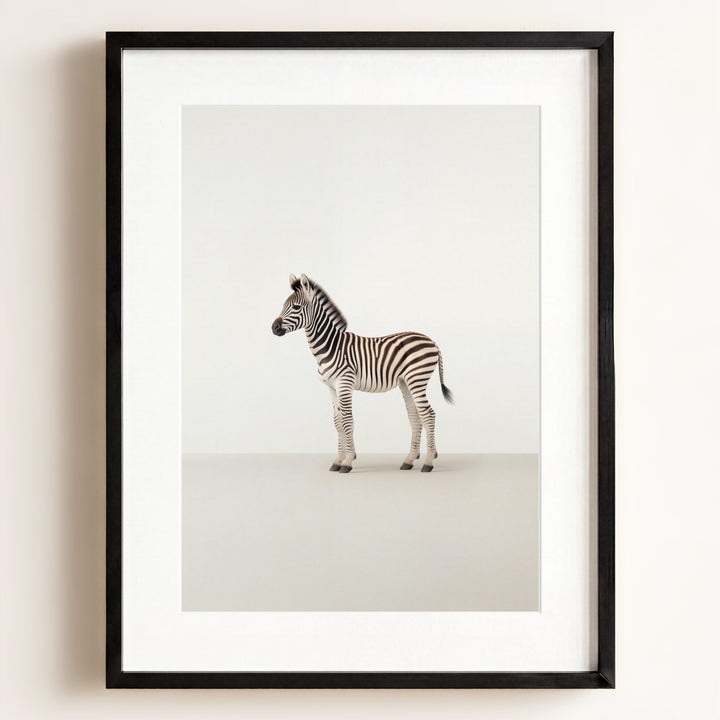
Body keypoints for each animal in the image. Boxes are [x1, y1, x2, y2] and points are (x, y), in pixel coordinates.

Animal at [271, 273, 454, 473]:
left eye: (296, 307)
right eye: (283, 305)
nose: (274, 328)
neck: (330, 346)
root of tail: (432, 341)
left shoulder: (344, 383)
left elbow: (347, 420)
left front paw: (348, 461)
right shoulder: (331, 387)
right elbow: (337, 421)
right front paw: (338, 460)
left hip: (417, 378)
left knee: (428, 414)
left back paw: (429, 462)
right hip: (406, 382)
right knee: (415, 416)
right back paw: (409, 460)